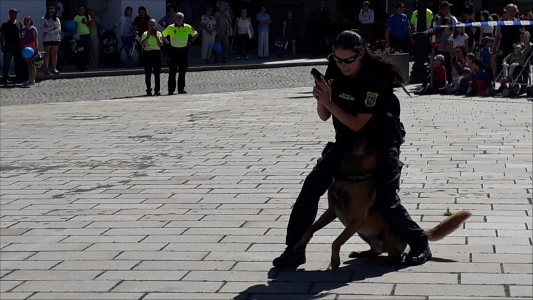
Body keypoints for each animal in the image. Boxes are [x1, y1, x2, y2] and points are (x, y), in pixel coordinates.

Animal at [294, 127, 472, 268]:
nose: (375, 129)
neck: (352, 176)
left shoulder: (356, 220)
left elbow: (336, 241)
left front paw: (334, 260)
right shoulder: (331, 212)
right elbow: (311, 228)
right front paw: (300, 244)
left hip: (384, 230)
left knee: (395, 255)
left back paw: (391, 260)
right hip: (362, 233)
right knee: (377, 250)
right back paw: (361, 253)